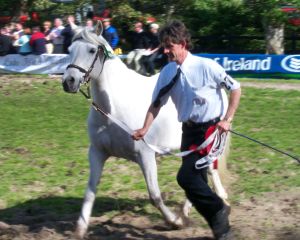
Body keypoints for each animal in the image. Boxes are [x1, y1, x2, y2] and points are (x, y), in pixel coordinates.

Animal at [62, 25, 229, 239]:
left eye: (91, 50)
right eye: (70, 49)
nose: (69, 81)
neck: (112, 111)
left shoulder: (145, 155)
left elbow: (154, 195)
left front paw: (173, 222)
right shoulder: (97, 153)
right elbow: (90, 191)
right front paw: (80, 229)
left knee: (206, 173)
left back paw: (193, 210)